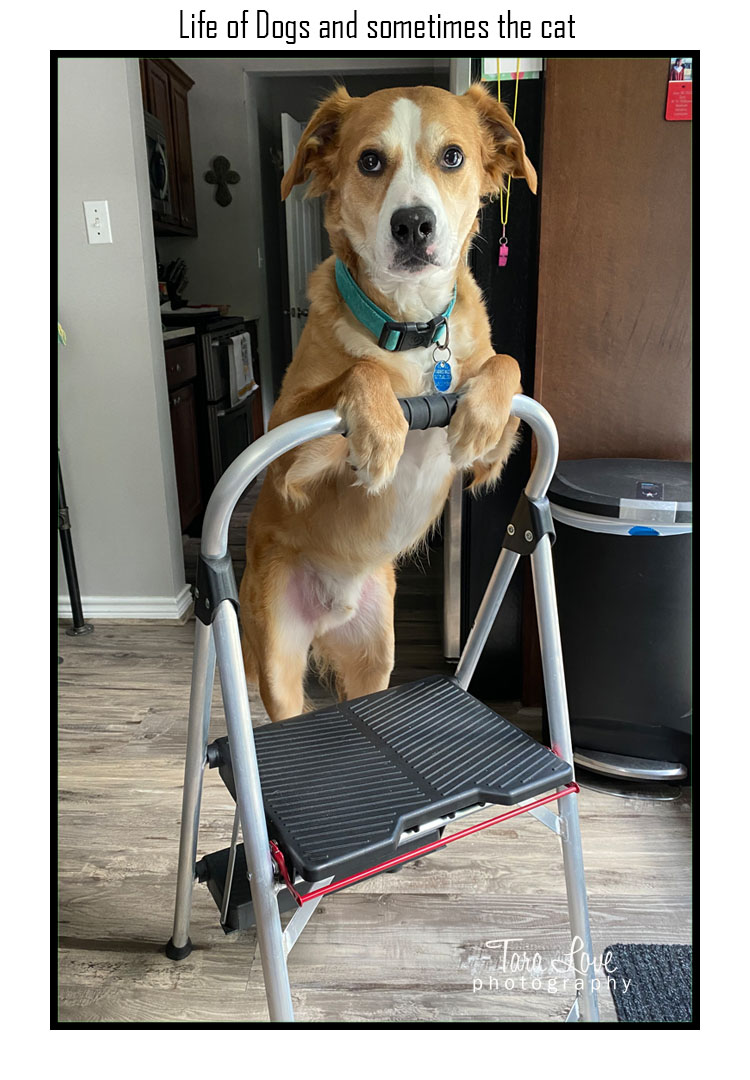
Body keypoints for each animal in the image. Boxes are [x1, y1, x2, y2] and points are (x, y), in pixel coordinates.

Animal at [239, 83, 537, 722]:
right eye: (370, 161)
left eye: (453, 157)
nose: (413, 224)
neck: (413, 329)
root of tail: (333, 609)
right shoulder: (284, 452)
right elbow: (361, 368)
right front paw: (380, 430)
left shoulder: (493, 457)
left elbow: (506, 364)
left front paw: (478, 416)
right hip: (278, 663)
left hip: (375, 659)